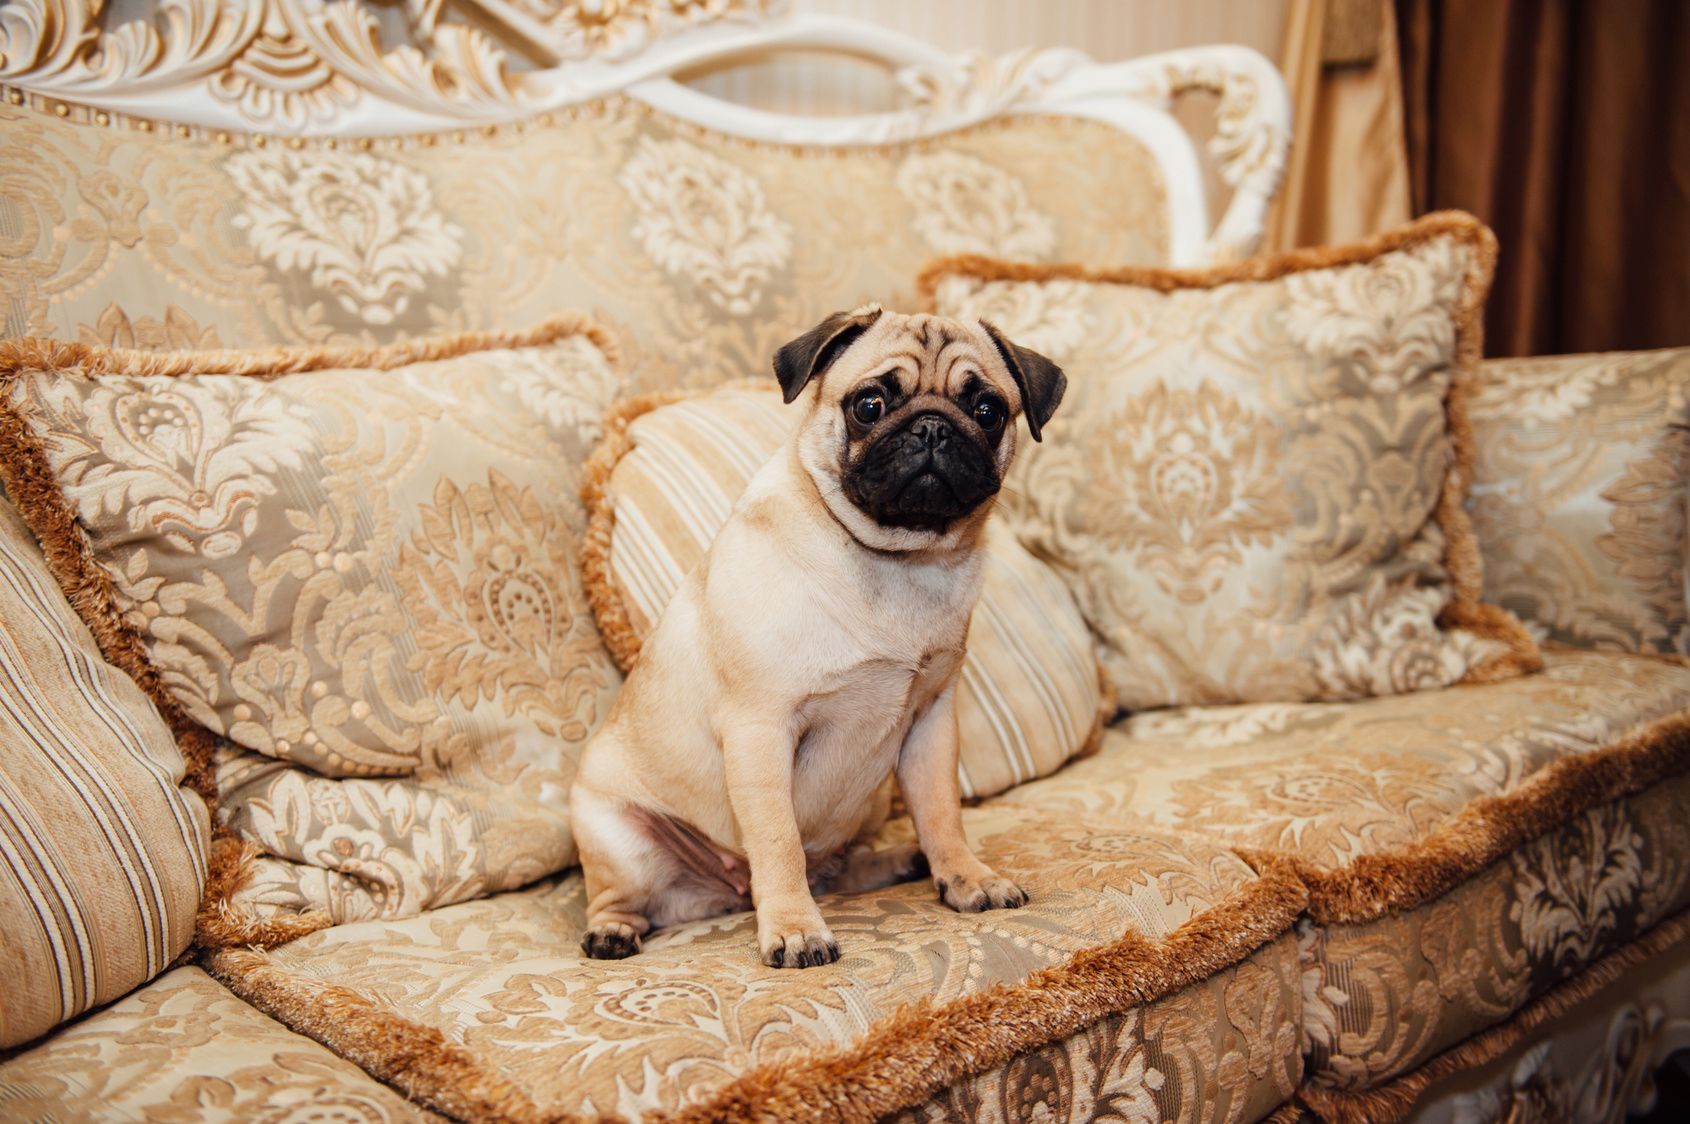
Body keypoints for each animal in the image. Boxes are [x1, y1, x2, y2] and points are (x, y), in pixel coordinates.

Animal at [574, 307, 1061, 966]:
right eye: (870, 405)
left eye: (986, 410)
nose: (933, 428)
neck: (899, 561)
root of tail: (720, 893)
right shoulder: (760, 730)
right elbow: (778, 841)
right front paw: (794, 929)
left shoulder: (932, 723)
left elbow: (942, 813)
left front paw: (966, 877)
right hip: (617, 840)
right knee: (621, 894)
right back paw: (613, 931)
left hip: (871, 804)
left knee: (834, 868)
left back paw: (901, 861)